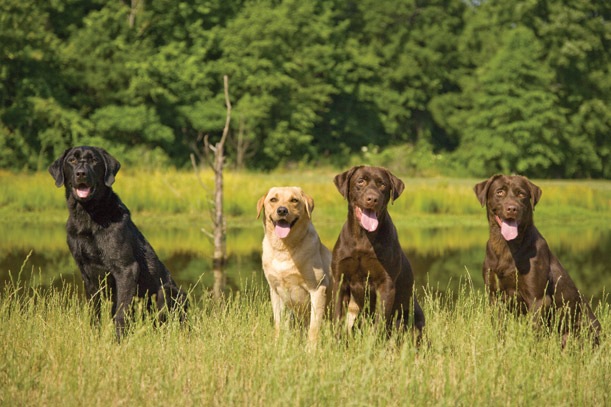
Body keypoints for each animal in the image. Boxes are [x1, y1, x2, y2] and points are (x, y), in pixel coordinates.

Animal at [49, 147, 188, 338]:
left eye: (94, 160)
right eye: (72, 161)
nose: (81, 173)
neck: (88, 217)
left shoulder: (126, 269)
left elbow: (121, 313)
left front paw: (119, 340)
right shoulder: (87, 274)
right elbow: (94, 312)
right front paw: (94, 336)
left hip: (168, 291)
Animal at [258, 188, 334, 348]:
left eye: (294, 200)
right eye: (273, 199)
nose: (282, 210)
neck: (284, 249)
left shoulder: (318, 289)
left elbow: (314, 327)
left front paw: (311, 350)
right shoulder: (275, 291)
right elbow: (278, 324)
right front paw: (277, 346)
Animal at [330, 167, 426, 340]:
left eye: (382, 184)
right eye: (361, 181)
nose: (372, 199)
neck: (363, 237)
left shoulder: (386, 284)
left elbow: (380, 323)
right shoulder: (339, 280)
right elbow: (337, 318)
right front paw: (335, 342)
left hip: (410, 320)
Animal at [474, 174, 604, 346]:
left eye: (521, 194)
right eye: (499, 192)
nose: (512, 208)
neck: (507, 247)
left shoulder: (538, 299)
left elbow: (533, 333)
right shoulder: (494, 296)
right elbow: (498, 328)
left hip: (577, 331)